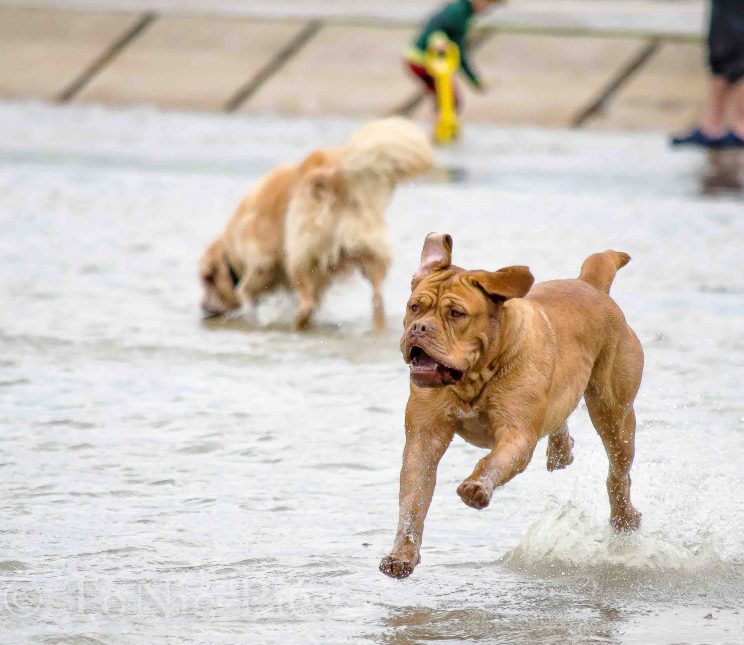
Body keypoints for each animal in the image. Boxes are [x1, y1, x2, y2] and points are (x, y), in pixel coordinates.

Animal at [380, 231, 644, 580]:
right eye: (414, 307)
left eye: (456, 314)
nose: (419, 328)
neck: (474, 377)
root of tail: (591, 285)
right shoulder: (424, 438)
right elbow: (412, 502)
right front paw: (402, 555)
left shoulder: (517, 433)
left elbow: (493, 460)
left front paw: (476, 487)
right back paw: (560, 450)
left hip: (613, 412)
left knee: (618, 471)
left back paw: (624, 518)